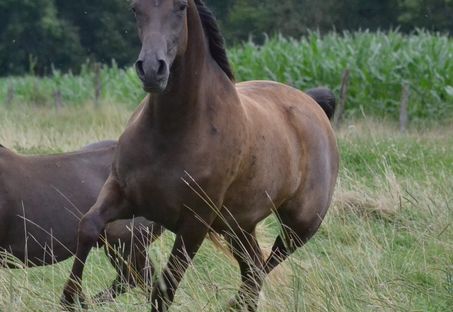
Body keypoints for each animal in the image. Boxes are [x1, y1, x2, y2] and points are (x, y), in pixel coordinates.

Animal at [62, 1, 340, 310]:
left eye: (181, 6)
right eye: (135, 8)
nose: (152, 69)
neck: (172, 131)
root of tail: (311, 103)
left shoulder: (195, 223)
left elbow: (164, 290)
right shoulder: (120, 193)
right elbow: (88, 227)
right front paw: (69, 298)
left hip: (300, 225)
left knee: (263, 267)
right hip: (238, 226)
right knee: (254, 267)